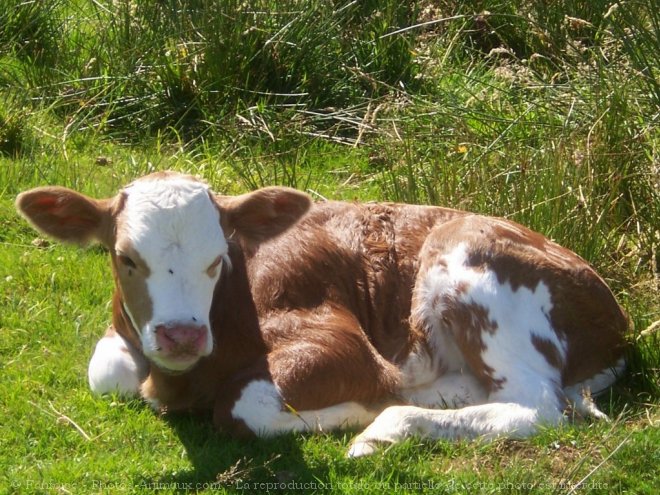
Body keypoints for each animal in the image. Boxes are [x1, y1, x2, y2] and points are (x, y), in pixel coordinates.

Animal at [18, 171, 628, 458]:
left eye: (216, 258)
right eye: (126, 258)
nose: (181, 335)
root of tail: (616, 320)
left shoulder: (336, 338)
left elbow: (241, 408)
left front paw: (360, 408)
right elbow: (106, 374)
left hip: (468, 259)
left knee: (537, 407)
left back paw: (387, 426)